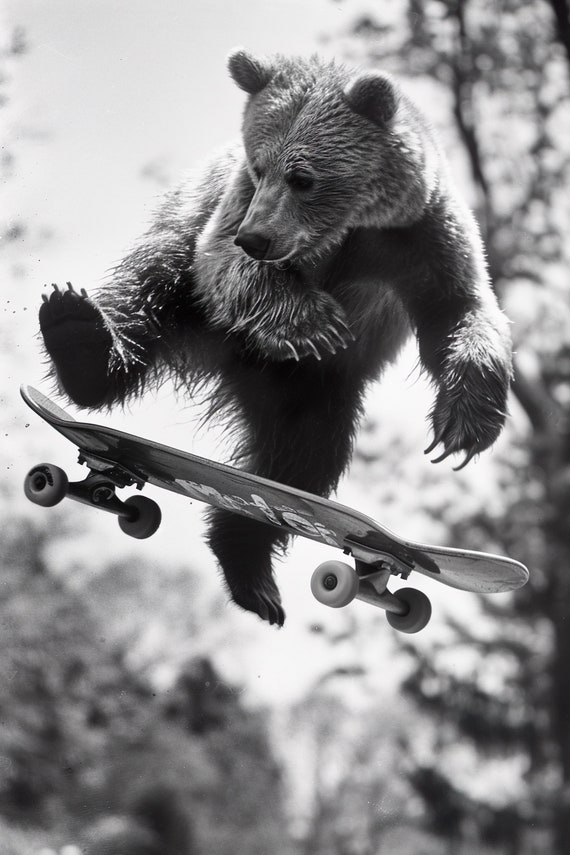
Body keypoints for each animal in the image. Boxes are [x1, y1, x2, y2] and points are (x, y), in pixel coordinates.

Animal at [39, 49, 513, 627]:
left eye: (302, 176)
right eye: (259, 165)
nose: (257, 237)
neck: (346, 229)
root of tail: (229, 364)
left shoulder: (418, 238)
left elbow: (460, 312)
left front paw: (462, 427)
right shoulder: (233, 209)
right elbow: (224, 263)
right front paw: (315, 321)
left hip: (310, 390)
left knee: (303, 463)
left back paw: (252, 573)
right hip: (182, 271)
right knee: (145, 291)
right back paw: (77, 334)